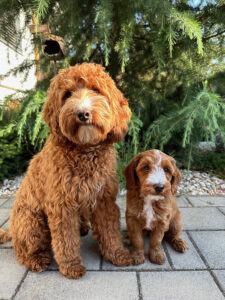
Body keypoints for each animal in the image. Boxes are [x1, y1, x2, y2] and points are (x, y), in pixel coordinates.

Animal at [0, 63, 133, 278]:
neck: (85, 150)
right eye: (68, 94)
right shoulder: (61, 204)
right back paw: (36, 259)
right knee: (25, 250)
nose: (83, 113)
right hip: (32, 222)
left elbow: (110, 230)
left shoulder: (104, 199)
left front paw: (117, 254)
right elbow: (65, 240)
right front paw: (71, 266)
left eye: (96, 90)